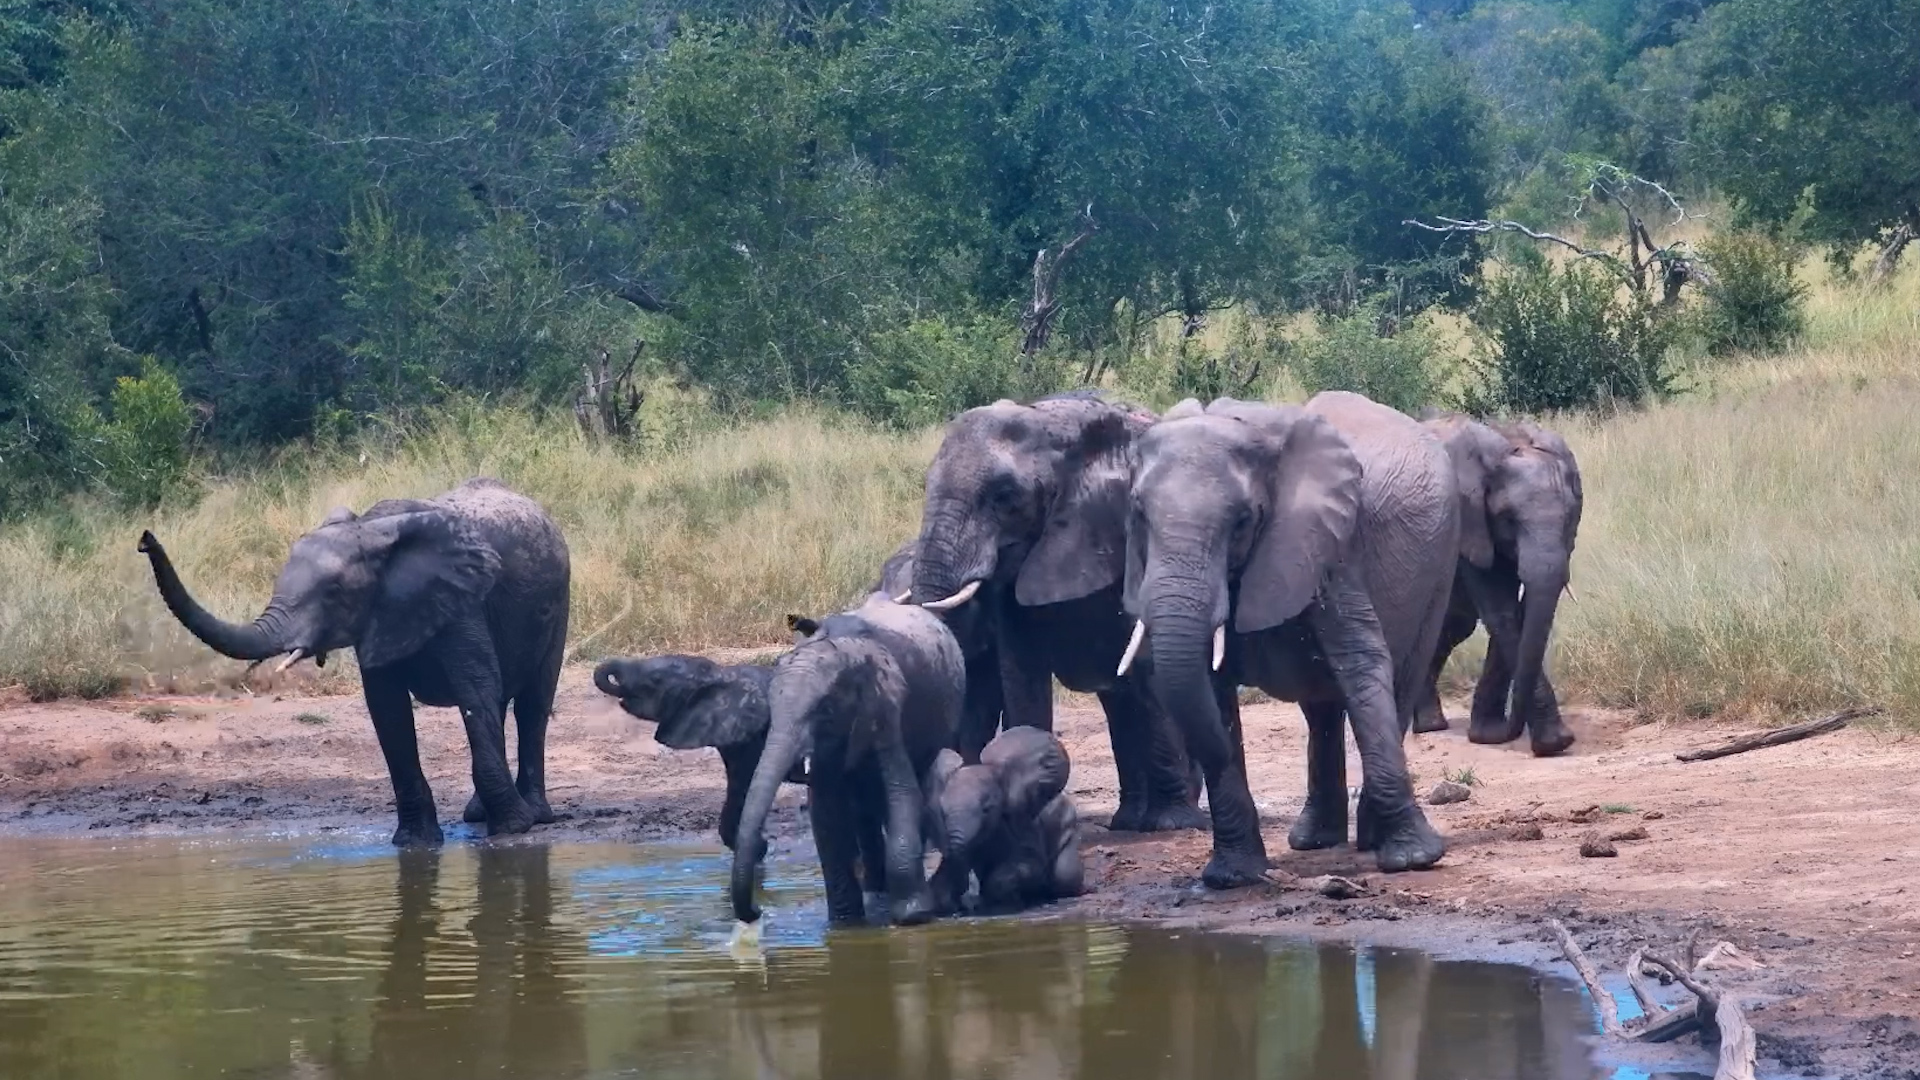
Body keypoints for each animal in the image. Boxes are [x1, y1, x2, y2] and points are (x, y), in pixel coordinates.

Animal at [138, 477, 569, 844]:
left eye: (333, 593)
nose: (144, 540)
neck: (371, 532)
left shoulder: (462, 603)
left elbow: (475, 693)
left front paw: (513, 830)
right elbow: (388, 711)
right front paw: (415, 843)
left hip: (559, 601)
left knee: (530, 706)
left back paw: (535, 815)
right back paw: (477, 815)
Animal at [730, 595, 964, 928]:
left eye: (825, 710)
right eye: (772, 709)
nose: (756, 911)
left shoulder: (886, 705)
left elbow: (900, 792)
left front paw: (913, 916)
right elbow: (826, 815)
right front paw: (844, 924)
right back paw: (875, 891)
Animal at [924, 726, 1084, 913]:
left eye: (987, 809)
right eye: (942, 811)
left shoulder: (1021, 823)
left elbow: (1030, 865)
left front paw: (998, 905)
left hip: (1067, 824)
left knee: (1065, 877)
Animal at [1122, 392, 1457, 886]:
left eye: (1242, 521)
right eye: (1139, 515)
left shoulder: (1330, 545)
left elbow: (1362, 661)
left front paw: (1413, 861)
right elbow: (1211, 686)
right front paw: (1232, 878)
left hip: (1439, 564)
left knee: (1399, 681)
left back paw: (1370, 840)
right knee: (1321, 708)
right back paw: (1315, 840)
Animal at [1414, 412, 1583, 756]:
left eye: (1569, 517)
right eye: (1507, 518)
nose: (1511, 729)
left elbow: (1519, 612)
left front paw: (1489, 736)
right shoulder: (1470, 522)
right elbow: (1501, 612)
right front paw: (1553, 743)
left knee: (1454, 623)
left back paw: (1429, 723)